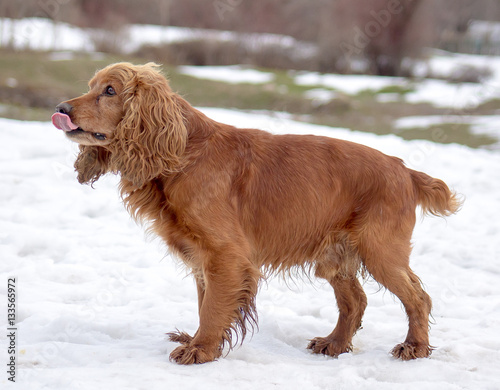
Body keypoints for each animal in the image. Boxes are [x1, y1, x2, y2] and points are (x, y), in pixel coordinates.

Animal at [51, 62, 460, 364]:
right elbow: (205, 303)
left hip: (380, 251)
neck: (182, 152)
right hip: (333, 255)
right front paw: (198, 342)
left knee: (418, 298)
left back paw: (415, 348)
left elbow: (213, 307)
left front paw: (200, 350)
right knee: (355, 301)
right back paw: (334, 343)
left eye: (110, 91)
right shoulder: (204, 258)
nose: (61, 110)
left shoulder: (225, 254)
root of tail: (405, 170)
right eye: (91, 86)